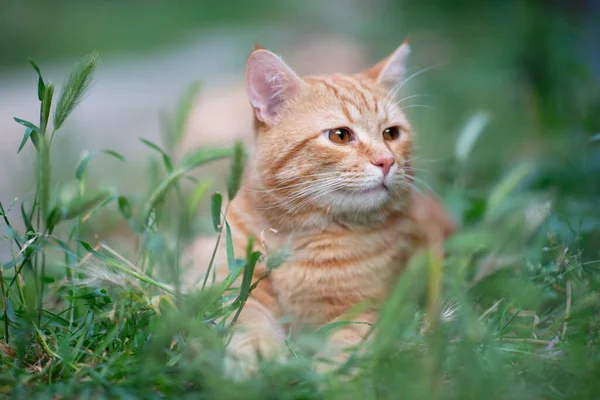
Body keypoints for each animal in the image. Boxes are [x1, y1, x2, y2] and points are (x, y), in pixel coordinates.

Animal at [188, 42, 454, 376]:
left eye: (391, 134)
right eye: (340, 135)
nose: (386, 161)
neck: (297, 233)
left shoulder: (366, 308)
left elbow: (345, 344)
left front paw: (325, 374)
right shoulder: (241, 292)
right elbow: (247, 325)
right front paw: (260, 360)